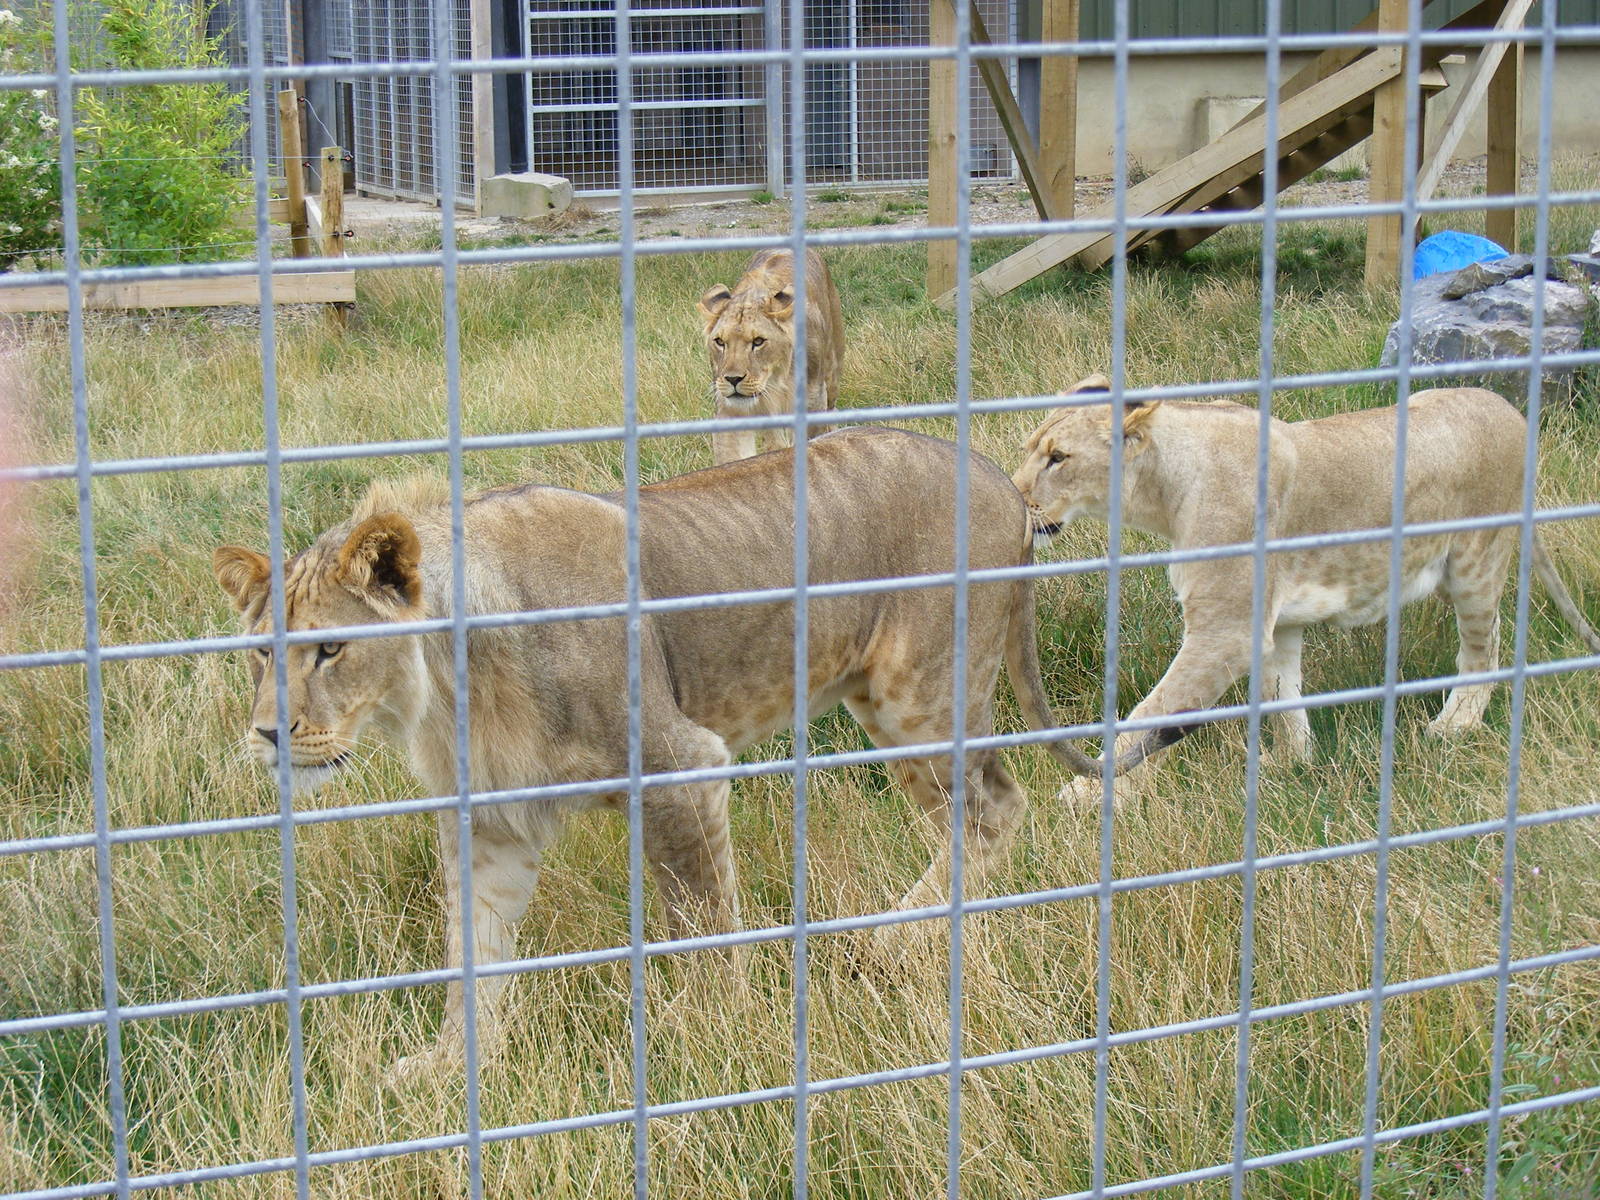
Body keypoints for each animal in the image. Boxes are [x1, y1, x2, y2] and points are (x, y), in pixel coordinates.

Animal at [213, 427, 1172, 1075]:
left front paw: (714, 1046)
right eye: (260, 652)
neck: (449, 684)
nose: (268, 733)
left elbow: (701, 924)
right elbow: (472, 953)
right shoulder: (490, 822)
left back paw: (893, 942)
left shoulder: (682, 768)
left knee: (994, 807)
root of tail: (1000, 482)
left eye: (330, 650)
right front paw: (450, 1071)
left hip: (918, 698)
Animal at [697, 247, 844, 464]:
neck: (776, 380)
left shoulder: (813, 400)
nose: (733, 379)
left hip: (832, 371)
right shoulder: (729, 407)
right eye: (720, 342)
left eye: (758, 341)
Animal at [1014, 375, 1600, 799]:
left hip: (1475, 563)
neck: (1163, 493)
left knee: (1485, 647)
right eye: (1030, 449)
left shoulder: (1224, 634)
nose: (1016, 499)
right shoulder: (1276, 623)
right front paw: (1288, 764)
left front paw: (1090, 795)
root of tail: (1510, 409)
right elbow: (1282, 697)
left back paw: (1454, 726)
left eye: (1058, 458)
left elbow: (1150, 715)